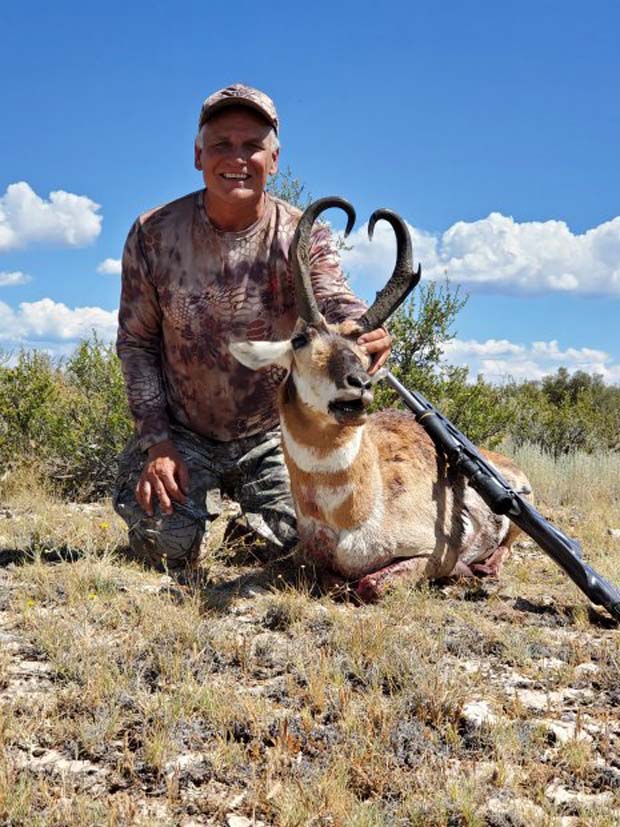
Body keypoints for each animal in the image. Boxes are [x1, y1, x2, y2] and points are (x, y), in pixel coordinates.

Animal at [230, 198, 532, 601]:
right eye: (300, 340)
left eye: (365, 348)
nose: (358, 384)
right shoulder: (307, 554)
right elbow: (317, 571)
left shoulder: (428, 554)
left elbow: (370, 583)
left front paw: (460, 571)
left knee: (505, 550)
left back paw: (481, 571)